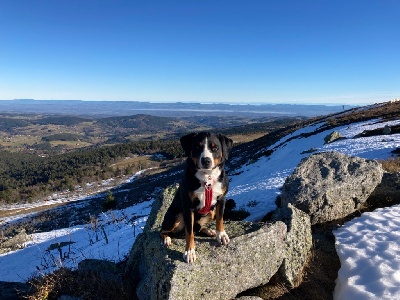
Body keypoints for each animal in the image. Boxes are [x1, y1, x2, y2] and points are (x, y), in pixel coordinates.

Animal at [160, 132, 233, 262]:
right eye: (197, 147)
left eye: (215, 148)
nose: (206, 160)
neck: (207, 179)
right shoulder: (188, 207)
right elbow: (189, 232)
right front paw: (189, 252)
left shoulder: (221, 199)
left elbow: (220, 219)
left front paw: (221, 235)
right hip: (176, 216)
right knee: (162, 230)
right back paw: (166, 238)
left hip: (211, 211)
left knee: (198, 228)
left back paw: (209, 230)